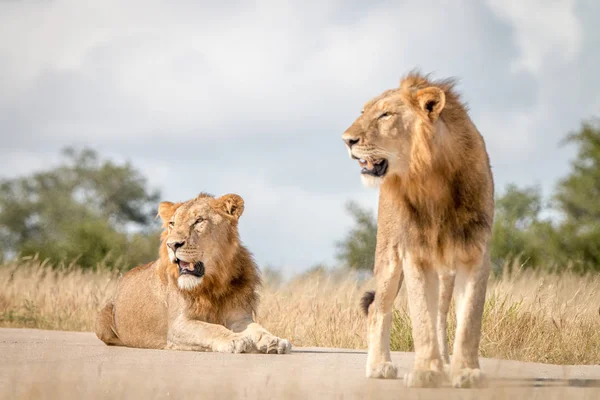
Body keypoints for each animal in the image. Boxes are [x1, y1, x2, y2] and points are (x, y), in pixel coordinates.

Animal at [95, 192, 292, 354]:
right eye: (172, 223)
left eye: (199, 221)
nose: (172, 245)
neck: (214, 282)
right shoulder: (178, 325)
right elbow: (210, 328)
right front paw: (235, 339)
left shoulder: (239, 316)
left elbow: (257, 328)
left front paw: (274, 340)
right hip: (102, 317)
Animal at [340, 72, 494, 388]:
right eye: (364, 112)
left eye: (385, 115)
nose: (347, 140)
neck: (431, 179)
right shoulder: (415, 254)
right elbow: (422, 319)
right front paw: (426, 372)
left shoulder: (475, 253)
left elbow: (469, 320)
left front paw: (466, 371)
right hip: (389, 258)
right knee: (377, 309)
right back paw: (379, 366)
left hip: (445, 271)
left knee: (441, 315)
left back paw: (446, 364)